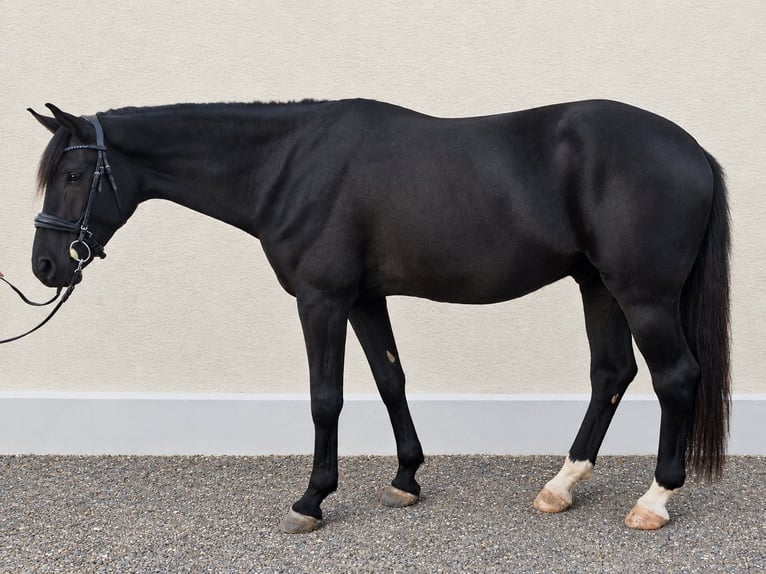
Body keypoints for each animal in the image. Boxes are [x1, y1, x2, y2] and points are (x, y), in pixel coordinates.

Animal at [27, 98, 730, 533]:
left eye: (73, 173)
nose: (45, 266)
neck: (290, 164)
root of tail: (693, 148)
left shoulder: (322, 298)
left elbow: (326, 398)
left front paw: (312, 500)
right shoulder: (364, 298)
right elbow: (391, 380)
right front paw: (406, 479)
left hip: (642, 294)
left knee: (675, 378)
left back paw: (654, 500)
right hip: (598, 287)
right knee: (611, 375)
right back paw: (562, 486)